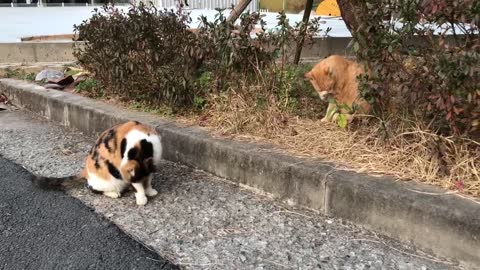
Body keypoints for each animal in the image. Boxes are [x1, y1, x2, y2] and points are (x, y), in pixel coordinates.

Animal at [32, 121, 163, 206]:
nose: (130, 182)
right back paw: (113, 193)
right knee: (92, 188)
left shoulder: (151, 166)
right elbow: (138, 187)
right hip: (107, 181)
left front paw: (149, 191)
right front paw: (141, 197)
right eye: (133, 182)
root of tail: (85, 171)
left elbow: (148, 180)